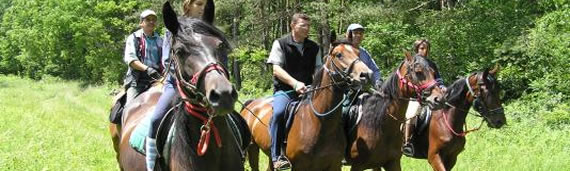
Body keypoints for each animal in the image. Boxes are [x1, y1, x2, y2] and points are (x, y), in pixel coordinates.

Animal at [240, 38, 372, 170]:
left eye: (358, 53)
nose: (366, 74)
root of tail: (251, 104)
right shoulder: (299, 166)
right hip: (252, 148)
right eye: (339, 54)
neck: (319, 122)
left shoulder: (334, 165)